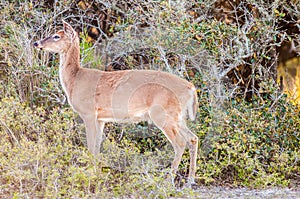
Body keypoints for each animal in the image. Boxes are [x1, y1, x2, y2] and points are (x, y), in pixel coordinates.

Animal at [33, 20, 199, 183]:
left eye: (56, 36)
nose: (36, 43)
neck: (75, 80)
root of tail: (191, 88)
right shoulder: (101, 118)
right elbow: (97, 145)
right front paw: (96, 171)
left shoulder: (88, 112)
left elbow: (90, 145)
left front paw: (90, 174)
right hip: (178, 116)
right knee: (193, 138)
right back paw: (190, 180)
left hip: (162, 113)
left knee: (180, 143)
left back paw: (168, 181)